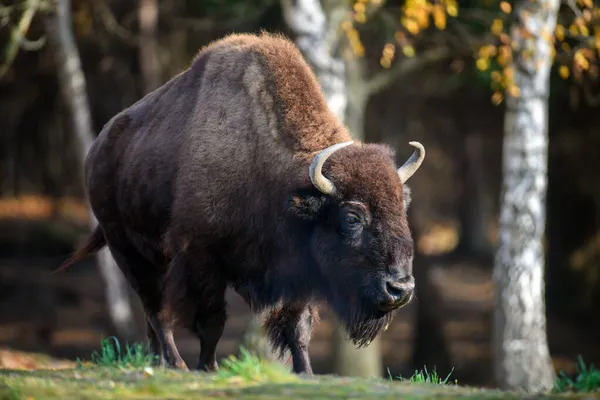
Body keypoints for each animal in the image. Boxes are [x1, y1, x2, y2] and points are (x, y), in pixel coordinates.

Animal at [57, 31, 422, 376]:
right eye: (352, 217)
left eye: (402, 205)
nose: (400, 289)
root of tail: (96, 150)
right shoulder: (201, 257)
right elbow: (211, 322)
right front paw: (208, 367)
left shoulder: (298, 269)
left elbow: (297, 328)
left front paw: (305, 372)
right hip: (126, 251)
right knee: (156, 310)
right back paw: (177, 364)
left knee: (151, 318)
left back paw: (158, 362)